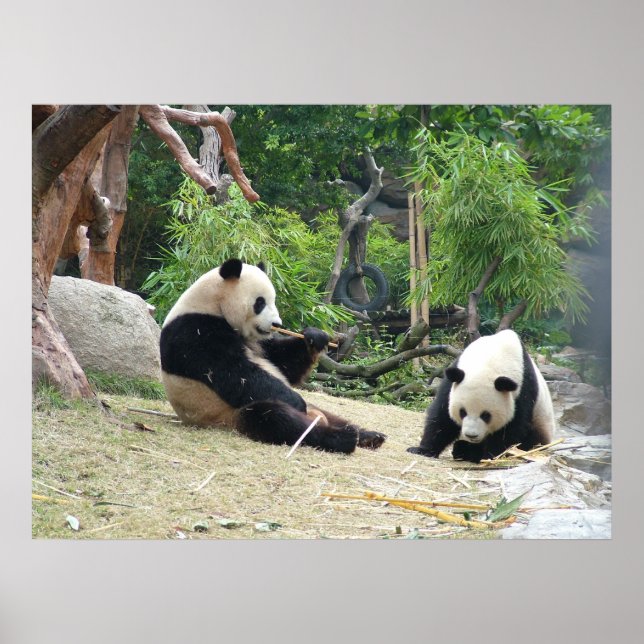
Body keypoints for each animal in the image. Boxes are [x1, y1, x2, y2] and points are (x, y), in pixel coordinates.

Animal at [160, 258, 386, 454]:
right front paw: (295, 401)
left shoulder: (259, 341)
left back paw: (368, 435)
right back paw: (342, 438)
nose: (277, 324)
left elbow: (283, 363)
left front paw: (315, 337)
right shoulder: (195, 333)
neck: (212, 303)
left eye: (273, 300)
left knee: (331, 415)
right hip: (229, 415)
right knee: (277, 418)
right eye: (260, 302)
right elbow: (237, 374)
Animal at [407, 329, 555, 463]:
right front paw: (422, 449)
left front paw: (489, 456)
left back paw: (468, 451)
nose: (471, 435)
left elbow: (511, 428)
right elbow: (442, 416)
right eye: (462, 412)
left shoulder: (523, 390)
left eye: (486, 415)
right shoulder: (454, 377)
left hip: (540, 427)